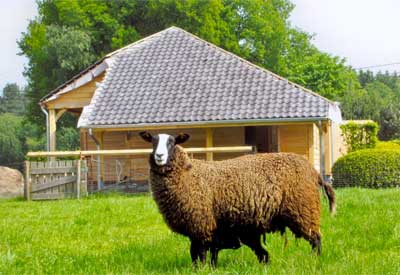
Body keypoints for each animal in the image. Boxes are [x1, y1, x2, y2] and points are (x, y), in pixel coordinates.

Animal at [139, 132, 336, 268]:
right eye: (153, 142)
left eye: (172, 142)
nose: (159, 156)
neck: (188, 174)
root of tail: (314, 171)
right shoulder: (208, 230)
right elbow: (205, 255)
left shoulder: (200, 225)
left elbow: (198, 255)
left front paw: (200, 270)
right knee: (267, 255)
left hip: (304, 209)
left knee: (316, 239)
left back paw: (315, 261)